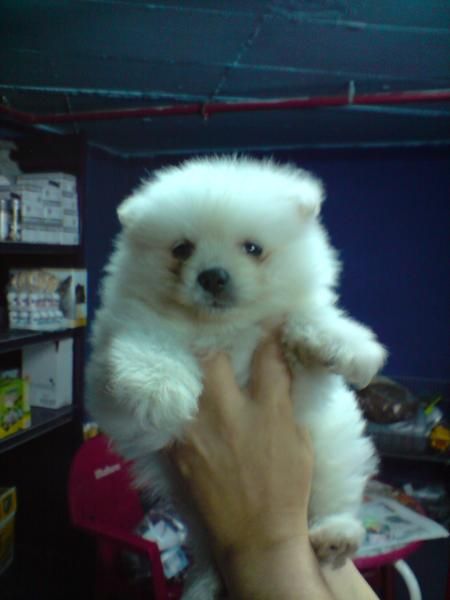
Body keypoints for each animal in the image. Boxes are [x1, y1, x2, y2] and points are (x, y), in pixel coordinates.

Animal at [88, 157, 386, 596]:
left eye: (253, 248)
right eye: (181, 249)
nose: (212, 276)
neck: (223, 329)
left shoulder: (301, 379)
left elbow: (306, 316)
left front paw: (345, 344)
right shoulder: (110, 381)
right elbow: (149, 338)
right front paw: (160, 388)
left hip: (333, 448)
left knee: (334, 496)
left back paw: (337, 535)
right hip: (196, 518)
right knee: (209, 557)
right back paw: (204, 586)